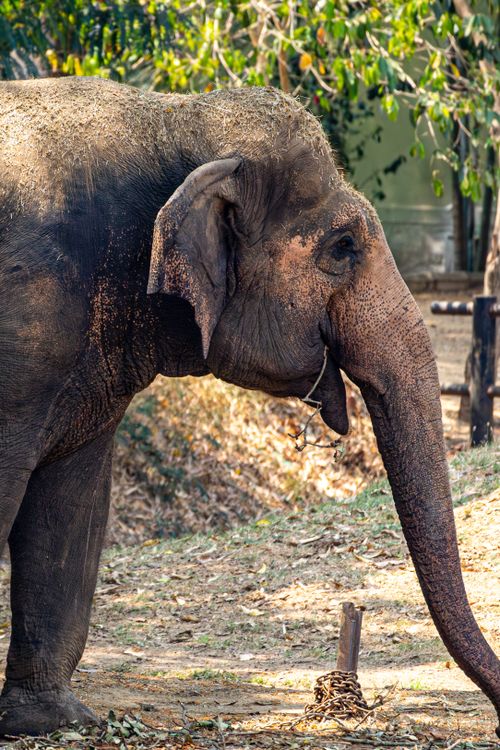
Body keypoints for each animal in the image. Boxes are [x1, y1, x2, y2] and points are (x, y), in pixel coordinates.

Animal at [0, 76, 498, 736]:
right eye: (343, 247)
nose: (496, 712)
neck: (175, 118)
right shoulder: (28, 321)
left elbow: (71, 506)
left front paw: (50, 720)